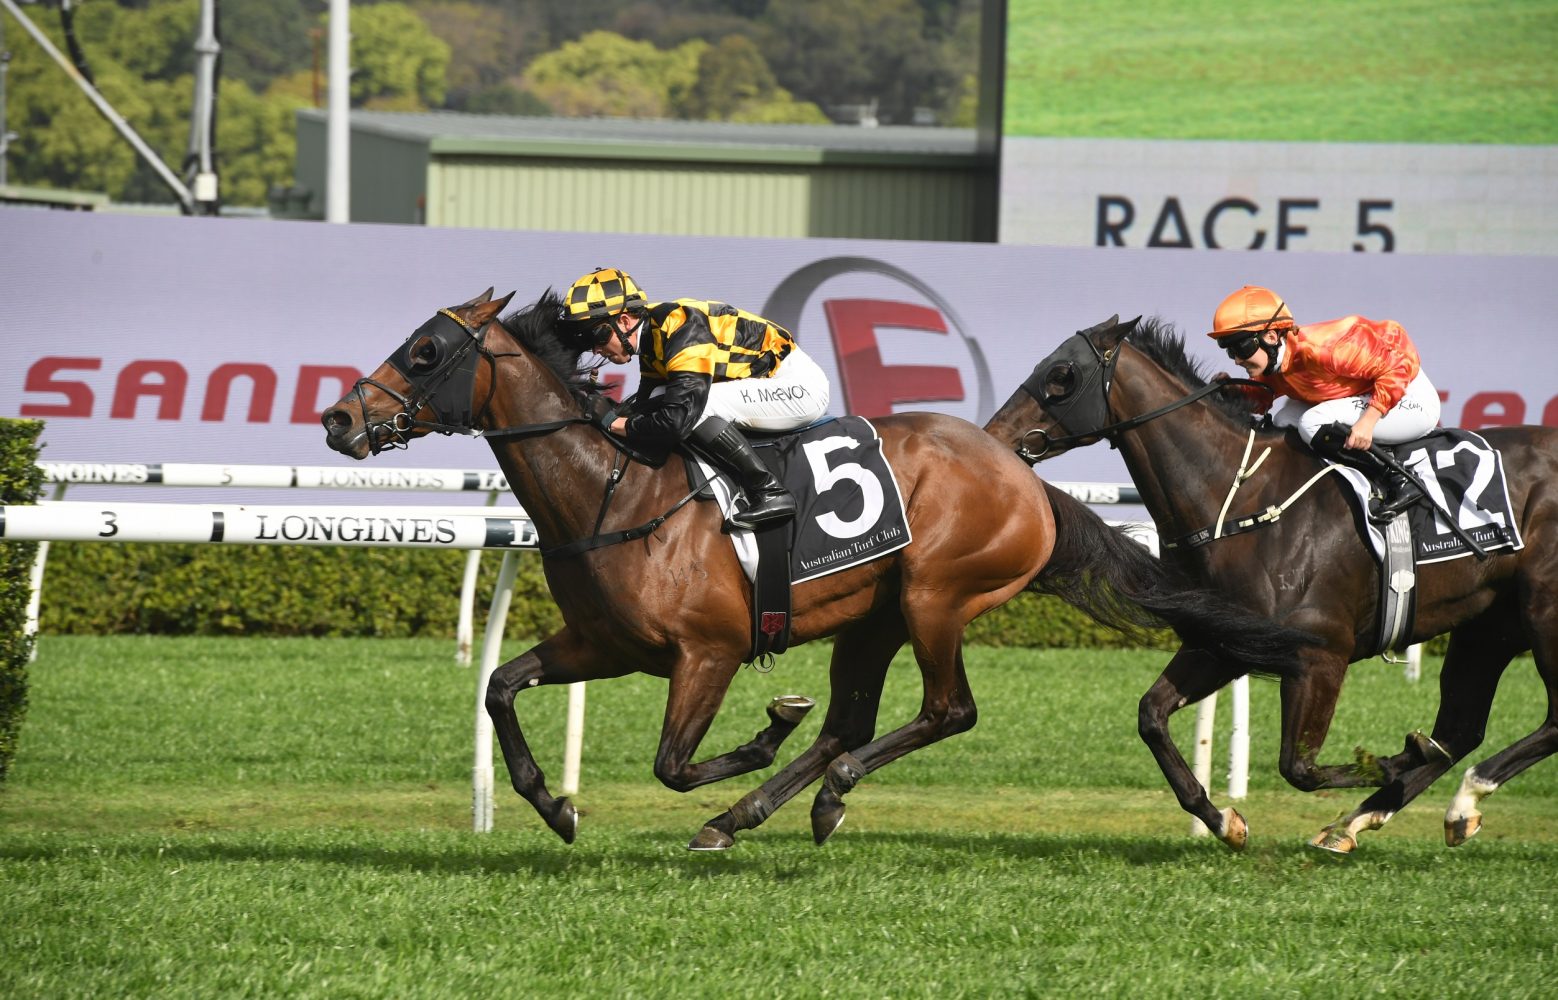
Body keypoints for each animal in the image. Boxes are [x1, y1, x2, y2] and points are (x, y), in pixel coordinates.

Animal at [321, 289, 1313, 851]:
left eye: (424, 353)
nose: (338, 419)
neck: (615, 493)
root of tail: (1022, 475)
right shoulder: (603, 643)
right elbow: (500, 686)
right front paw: (555, 807)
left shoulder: (709, 653)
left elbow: (673, 763)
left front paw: (765, 730)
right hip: (873, 619)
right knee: (848, 724)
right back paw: (753, 815)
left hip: (935, 597)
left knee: (944, 712)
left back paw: (810, 800)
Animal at [984, 313, 1558, 853]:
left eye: (1061, 375)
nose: (993, 438)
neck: (1239, 498)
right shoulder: (1222, 642)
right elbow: (1151, 715)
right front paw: (1223, 821)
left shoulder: (1320, 656)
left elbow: (1298, 767)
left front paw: (1395, 759)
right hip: (1487, 625)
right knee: (1460, 729)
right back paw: (1374, 819)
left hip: (1542, 612)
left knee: (1542, 722)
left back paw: (1456, 797)